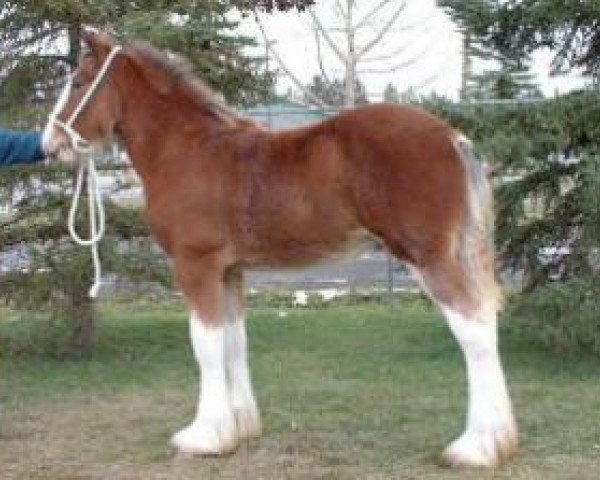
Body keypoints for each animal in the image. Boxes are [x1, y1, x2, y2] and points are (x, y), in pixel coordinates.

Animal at [44, 31, 516, 466]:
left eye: (78, 81)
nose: (50, 143)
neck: (187, 149)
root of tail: (454, 138)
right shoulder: (230, 270)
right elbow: (233, 339)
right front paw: (239, 428)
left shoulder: (195, 264)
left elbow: (205, 345)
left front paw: (204, 435)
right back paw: (498, 441)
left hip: (428, 256)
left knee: (473, 330)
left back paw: (475, 447)